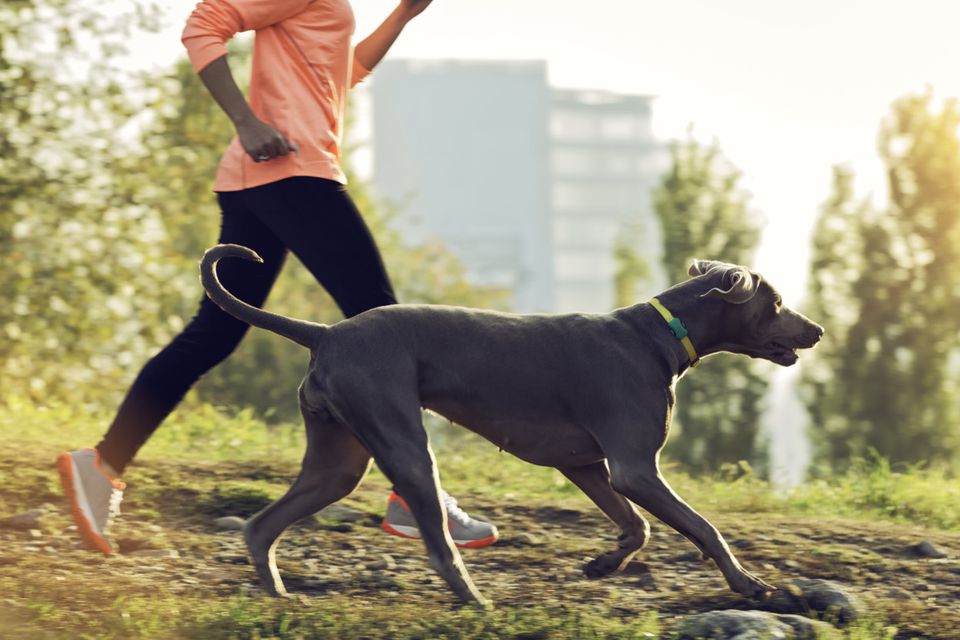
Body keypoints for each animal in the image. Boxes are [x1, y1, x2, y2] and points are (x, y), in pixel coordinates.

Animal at [199, 244, 820, 604]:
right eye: (777, 302)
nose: (815, 330)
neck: (658, 335)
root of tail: (324, 332)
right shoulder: (635, 469)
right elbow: (704, 528)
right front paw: (749, 585)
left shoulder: (588, 466)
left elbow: (637, 527)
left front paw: (602, 565)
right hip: (403, 444)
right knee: (439, 546)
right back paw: (477, 602)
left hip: (338, 460)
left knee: (262, 526)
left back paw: (276, 593)